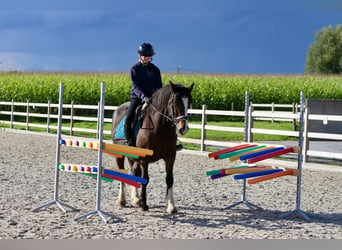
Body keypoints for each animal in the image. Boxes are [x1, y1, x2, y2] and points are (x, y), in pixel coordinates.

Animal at [111, 81, 194, 214]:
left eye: (189, 102)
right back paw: (122, 200)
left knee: (134, 171)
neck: (159, 128)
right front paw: (143, 204)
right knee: (121, 172)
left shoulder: (170, 157)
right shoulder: (145, 159)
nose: (183, 128)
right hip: (120, 154)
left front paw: (171, 206)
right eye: (175, 102)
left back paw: (135, 199)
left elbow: (169, 179)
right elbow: (145, 179)